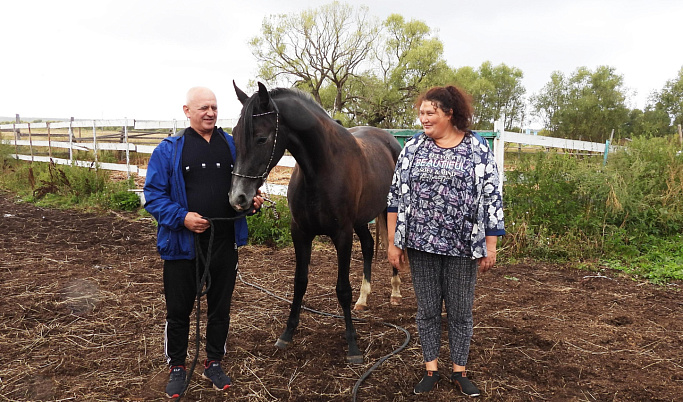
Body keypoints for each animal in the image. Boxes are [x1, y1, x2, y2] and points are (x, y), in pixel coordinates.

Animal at [227, 82, 404, 364]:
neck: (321, 169)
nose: (238, 198)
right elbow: (300, 282)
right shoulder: (301, 233)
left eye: (262, 138)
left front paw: (352, 345)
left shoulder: (342, 235)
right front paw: (287, 333)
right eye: (233, 135)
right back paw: (364, 298)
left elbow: (342, 289)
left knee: (390, 247)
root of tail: (390, 140)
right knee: (368, 246)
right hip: (361, 220)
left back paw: (395, 293)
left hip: (388, 211)